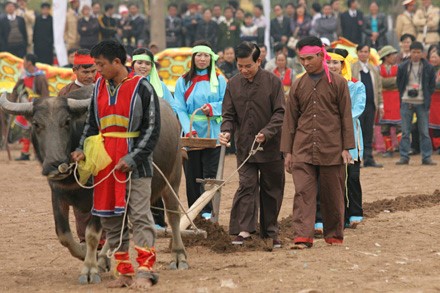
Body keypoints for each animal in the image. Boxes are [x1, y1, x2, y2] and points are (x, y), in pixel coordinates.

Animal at [0, 84, 187, 282]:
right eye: (36, 124)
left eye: (67, 122)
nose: (55, 164)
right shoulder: (57, 194)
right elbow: (63, 235)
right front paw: (87, 256)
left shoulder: (99, 198)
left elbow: (91, 234)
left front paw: (89, 269)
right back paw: (104, 258)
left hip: (173, 178)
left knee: (174, 216)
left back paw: (178, 256)